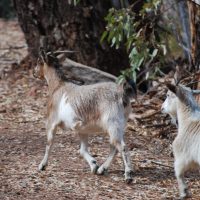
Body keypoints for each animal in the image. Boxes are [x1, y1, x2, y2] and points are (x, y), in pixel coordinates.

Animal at [32, 48, 137, 183]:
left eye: (39, 61)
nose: (34, 73)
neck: (58, 87)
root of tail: (122, 93)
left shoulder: (51, 122)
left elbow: (49, 144)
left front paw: (42, 165)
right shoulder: (82, 129)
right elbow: (82, 150)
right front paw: (93, 165)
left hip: (112, 122)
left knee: (121, 146)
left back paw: (128, 174)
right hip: (119, 124)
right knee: (114, 147)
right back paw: (102, 169)